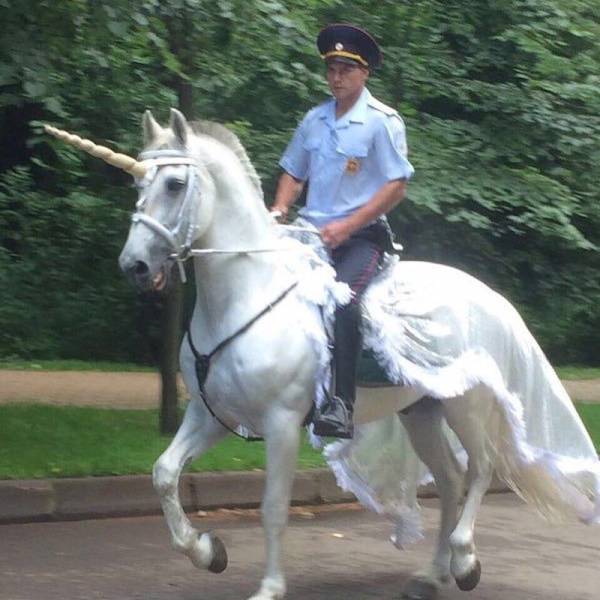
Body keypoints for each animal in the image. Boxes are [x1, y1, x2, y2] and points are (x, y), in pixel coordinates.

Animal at [45, 109, 600, 600]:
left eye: (175, 185)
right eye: (138, 187)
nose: (134, 266)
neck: (244, 295)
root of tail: (491, 297)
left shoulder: (281, 423)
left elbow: (272, 508)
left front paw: (268, 587)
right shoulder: (210, 414)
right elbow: (163, 474)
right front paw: (207, 550)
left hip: (467, 403)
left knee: (481, 470)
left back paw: (464, 561)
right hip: (421, 411)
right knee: (449, 481)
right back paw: (431, 576)